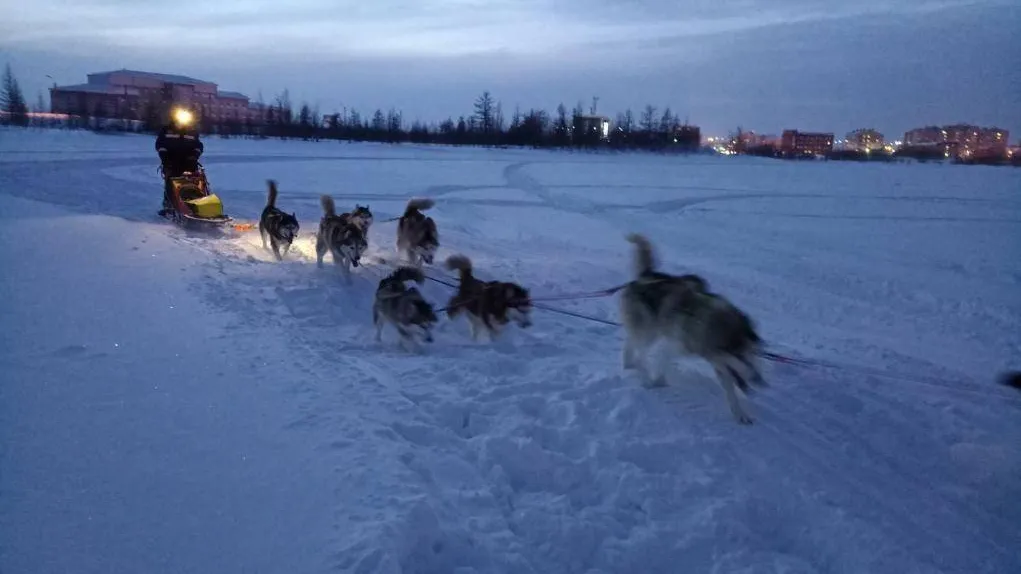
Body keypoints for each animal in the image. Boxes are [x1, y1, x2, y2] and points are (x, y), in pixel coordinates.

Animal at [612, 229, 767, 422]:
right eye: (741, 357)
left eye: (753, 355)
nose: (759, 380)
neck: (709, 324)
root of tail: (647, 276)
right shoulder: (674, 345)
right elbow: (661, 364)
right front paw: (654, 383)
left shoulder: (719, 362)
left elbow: (730, 391)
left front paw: (740, 414)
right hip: (649, 330)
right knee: (635, 345)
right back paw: (634, 367)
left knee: (633, 342)